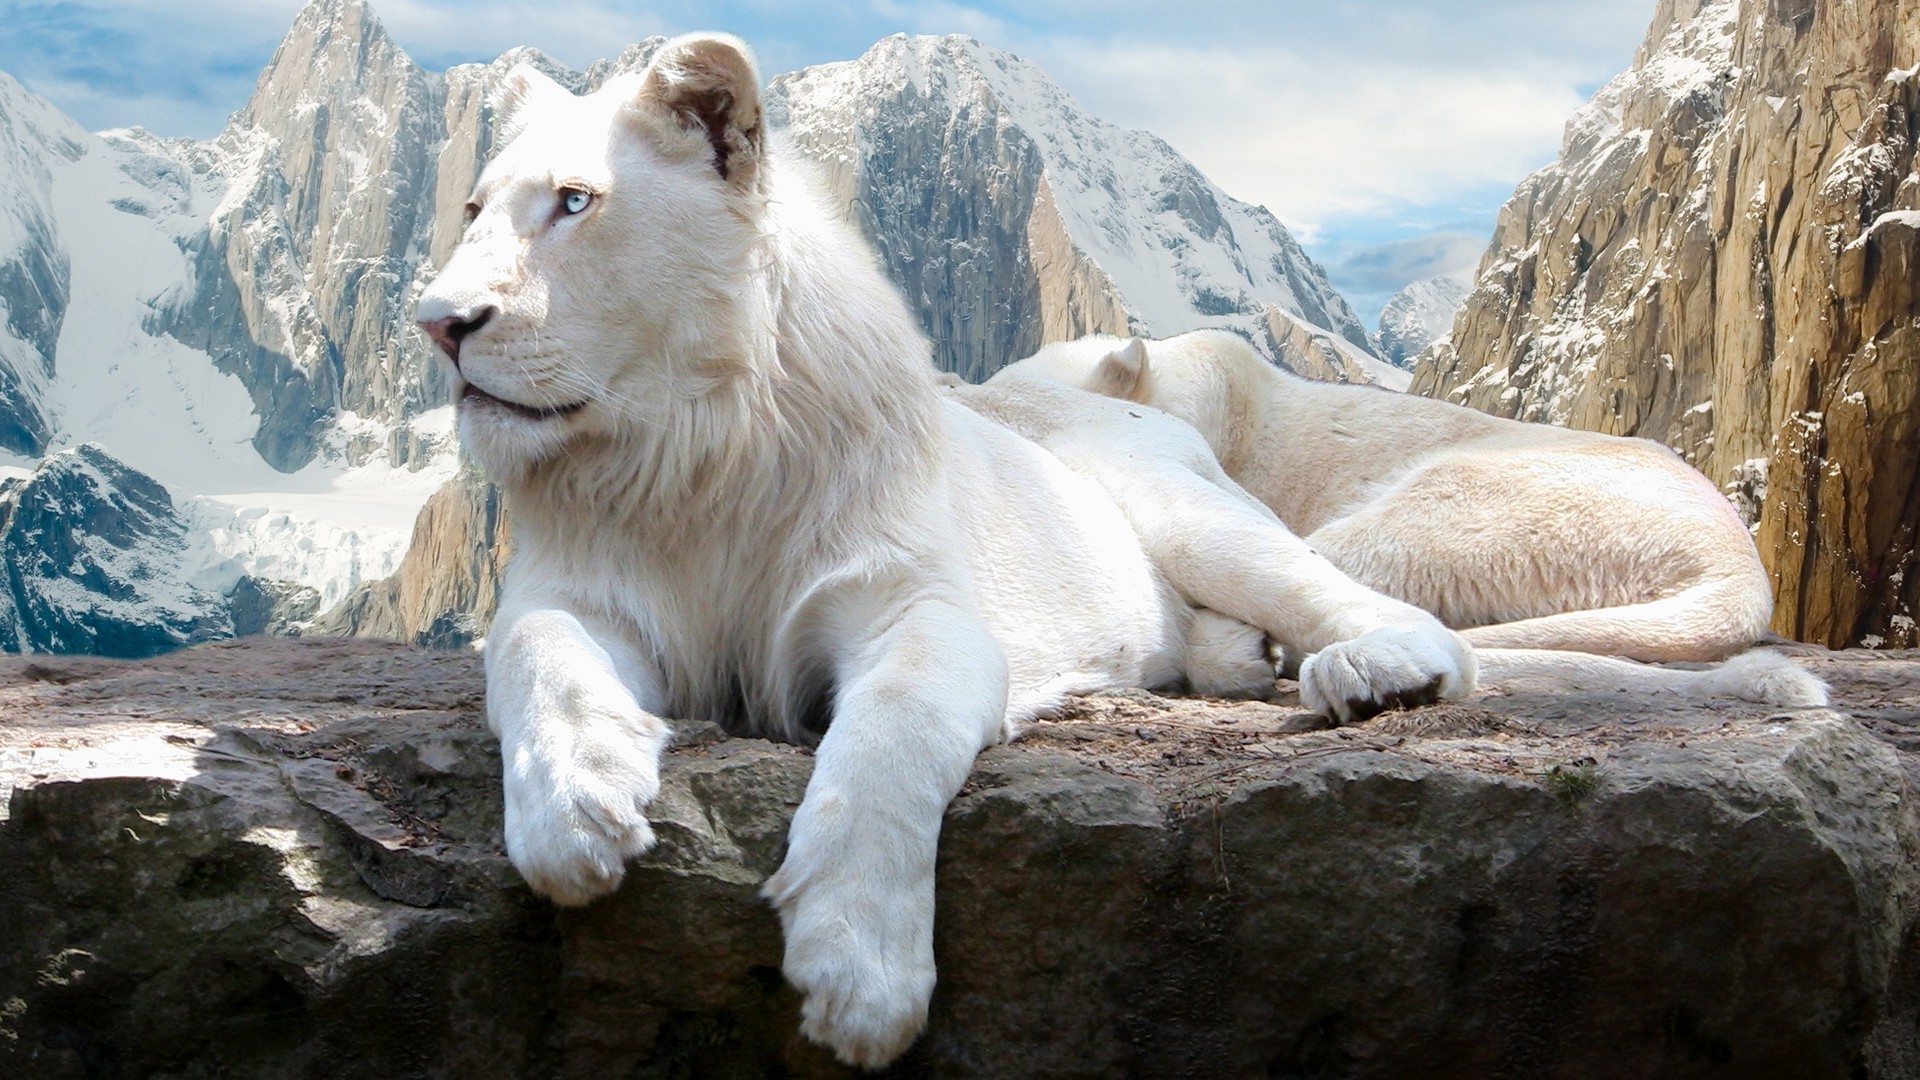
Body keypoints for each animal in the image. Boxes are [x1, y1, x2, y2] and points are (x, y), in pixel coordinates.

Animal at [416, 35, 1466, 1068]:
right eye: (471, 210)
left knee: (1378, 609)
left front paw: (859, 972)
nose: (438, 325)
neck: (690, 450)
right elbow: (538, 653)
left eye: (575, 202)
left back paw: (1376, 671)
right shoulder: (577, 594)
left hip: (1186, 512)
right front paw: (575, 809)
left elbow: (892, 739)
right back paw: (1238, 660)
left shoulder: (914, 606)